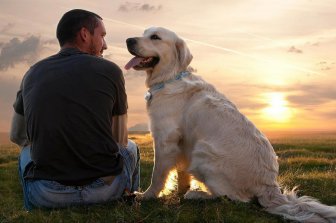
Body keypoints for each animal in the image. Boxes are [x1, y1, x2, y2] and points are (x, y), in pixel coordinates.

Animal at [124, 27, 336, 222]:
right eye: (144, 33)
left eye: (155, 37)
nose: (128, 40)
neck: (169, 78)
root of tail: (269, 187)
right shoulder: (182, 143)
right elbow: (182, 173)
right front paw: (179, 191)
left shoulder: (165, 139)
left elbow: (158, 174)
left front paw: (147, 195)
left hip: (203, 151)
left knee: (233, 198)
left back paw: (197, 194)